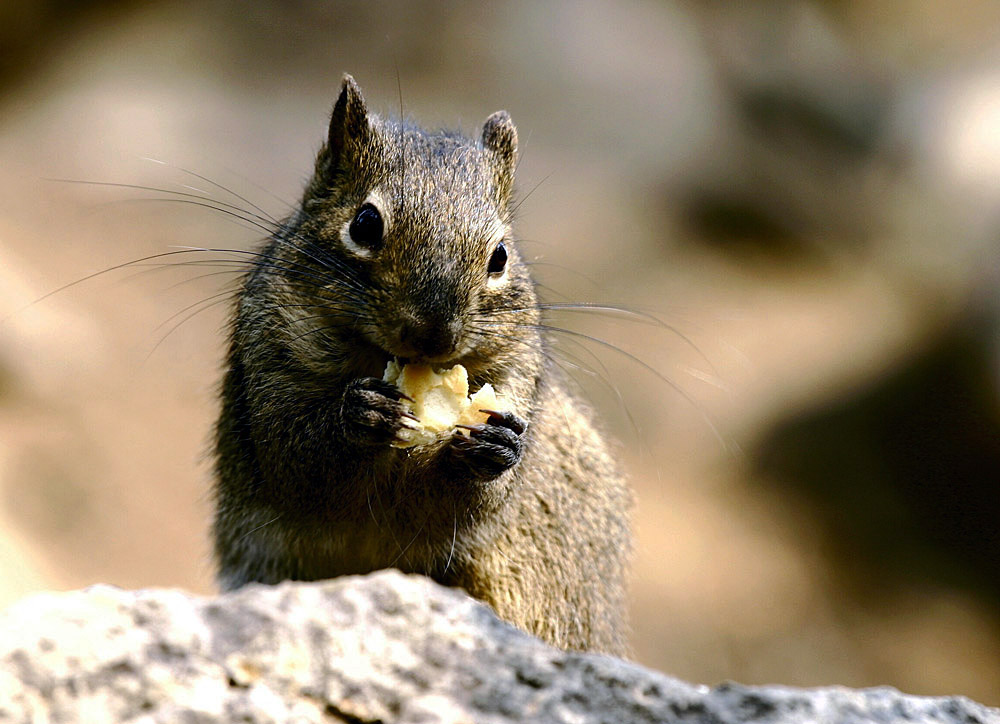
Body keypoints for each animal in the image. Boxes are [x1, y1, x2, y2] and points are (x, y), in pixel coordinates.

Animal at [212, 75, 632, 656]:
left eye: (500, 256)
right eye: (365, 223)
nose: (434, 335)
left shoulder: (518, 378)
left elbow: (475, 503)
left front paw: (496, 446)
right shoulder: (267, 369)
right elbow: (297, 457)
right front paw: (361, 415)